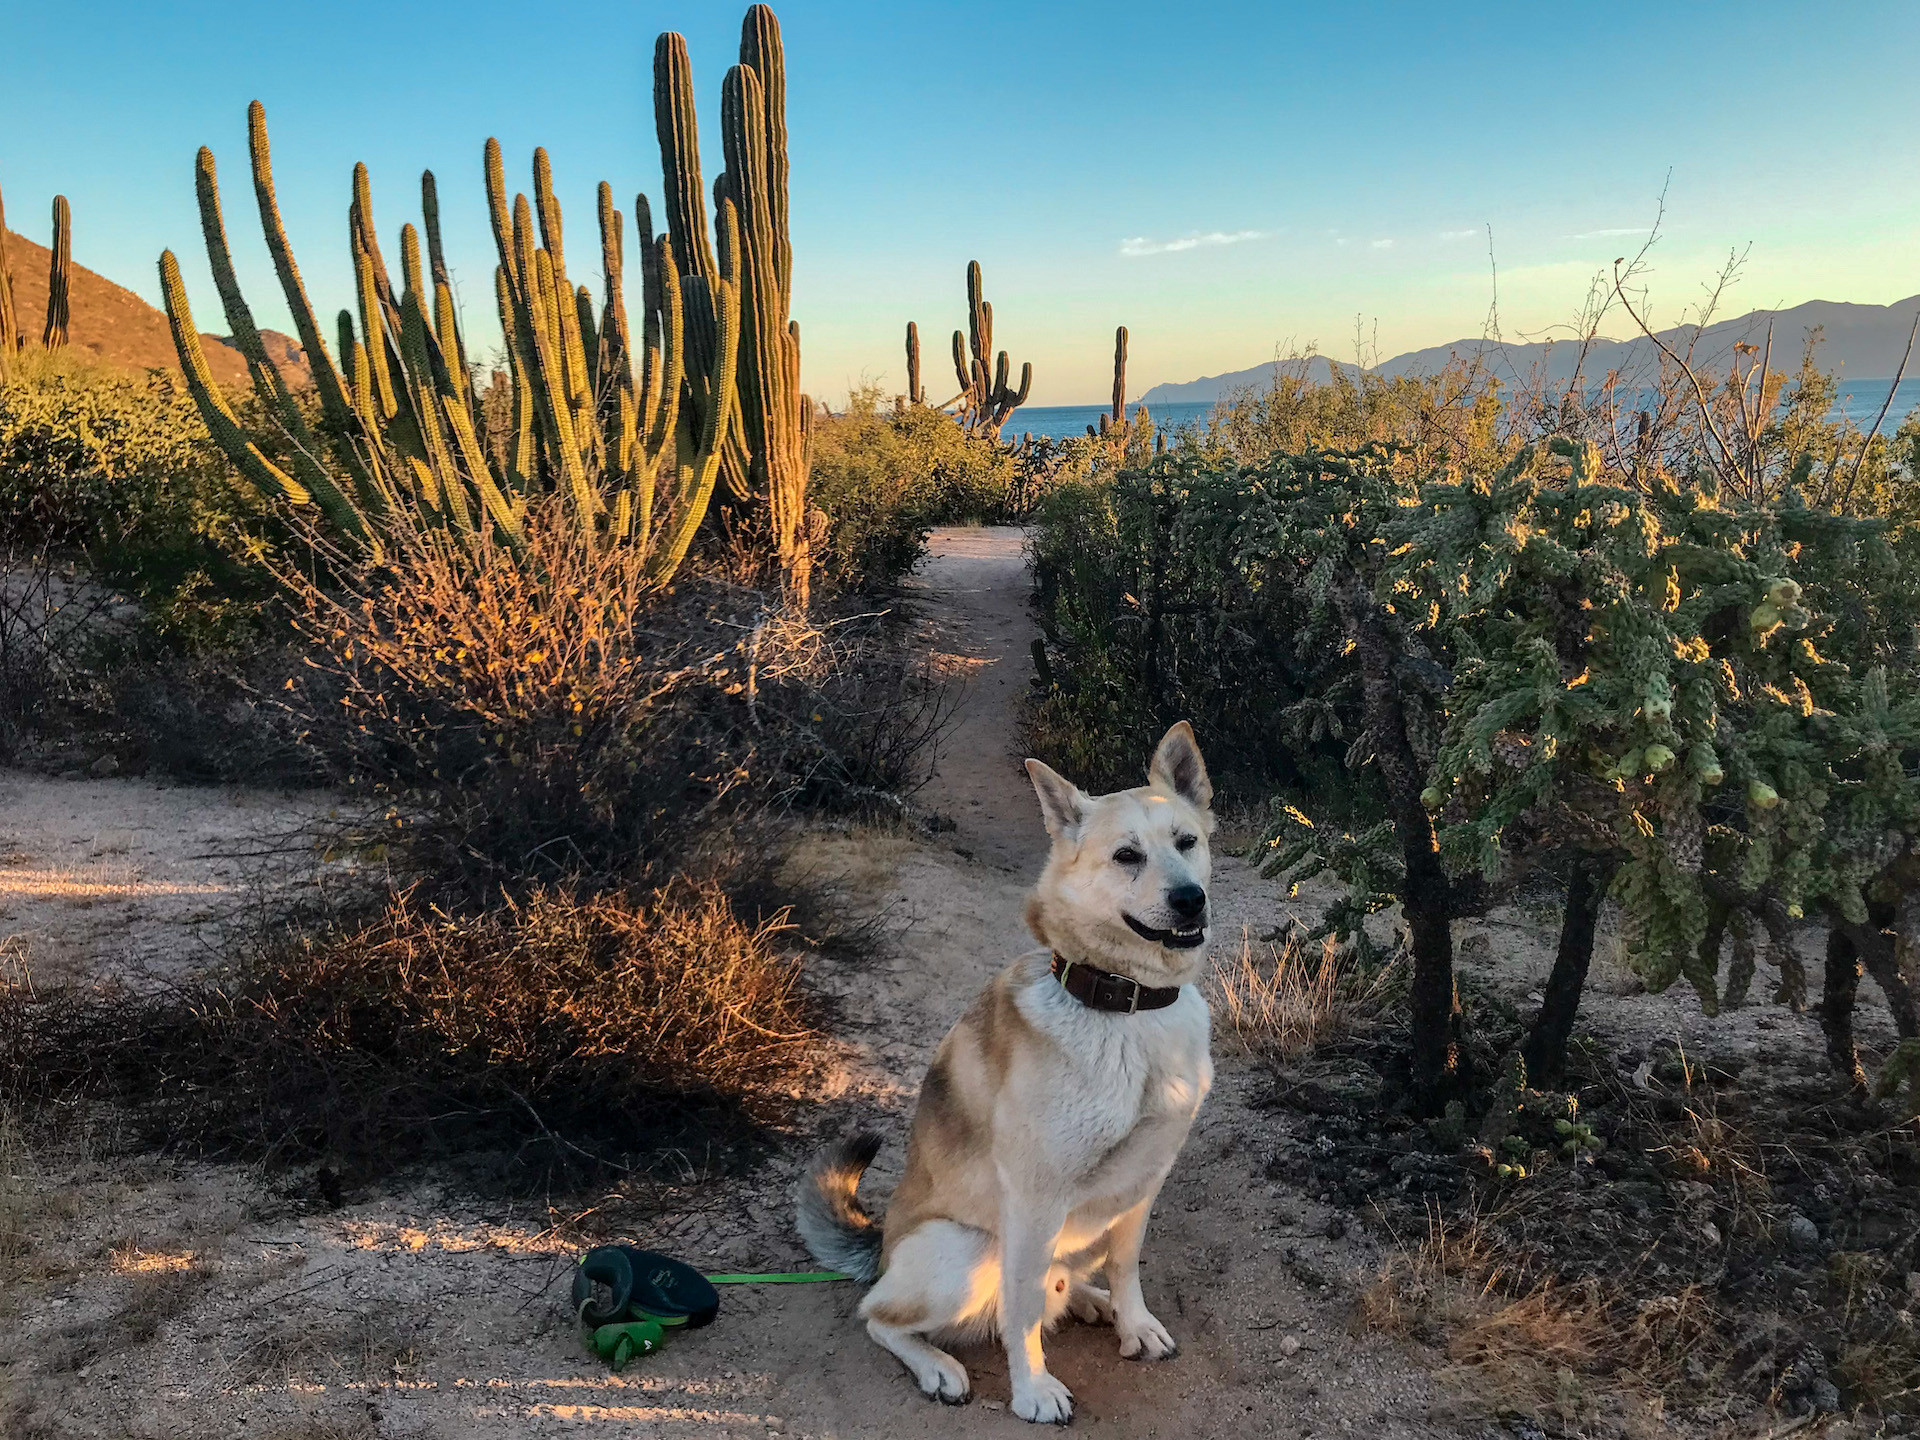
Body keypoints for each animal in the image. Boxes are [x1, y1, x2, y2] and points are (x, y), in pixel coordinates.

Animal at [794, 725, 1213, 1428]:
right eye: (1127, 856)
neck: (1125, 1007)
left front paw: (1133, 1323)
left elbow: (1127, 1265)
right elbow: (1021, 1311)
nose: (1190, 898)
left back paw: (1091, 1299)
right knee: (878, 1316)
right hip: (968, 1249)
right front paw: (1033, 1390)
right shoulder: (1034, 1198)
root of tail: (881, 1246)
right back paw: (937, 1365)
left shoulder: (1144, 1181)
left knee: (1062, 1283)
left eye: (1187, 842)